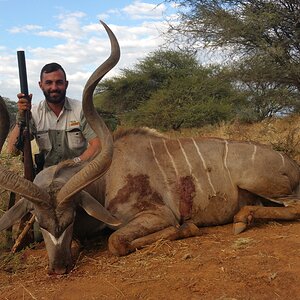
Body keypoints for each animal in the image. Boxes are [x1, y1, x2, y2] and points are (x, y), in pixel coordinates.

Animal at [0, 21, 300, 274]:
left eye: (70, 219)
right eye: (39, 222)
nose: (59, 268)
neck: (106, 181)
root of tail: (291, 164)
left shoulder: (158, 215)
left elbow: (117, 241)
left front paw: (188, 227)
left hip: (263, 185)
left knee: (294, 207)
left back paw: (242, 218)